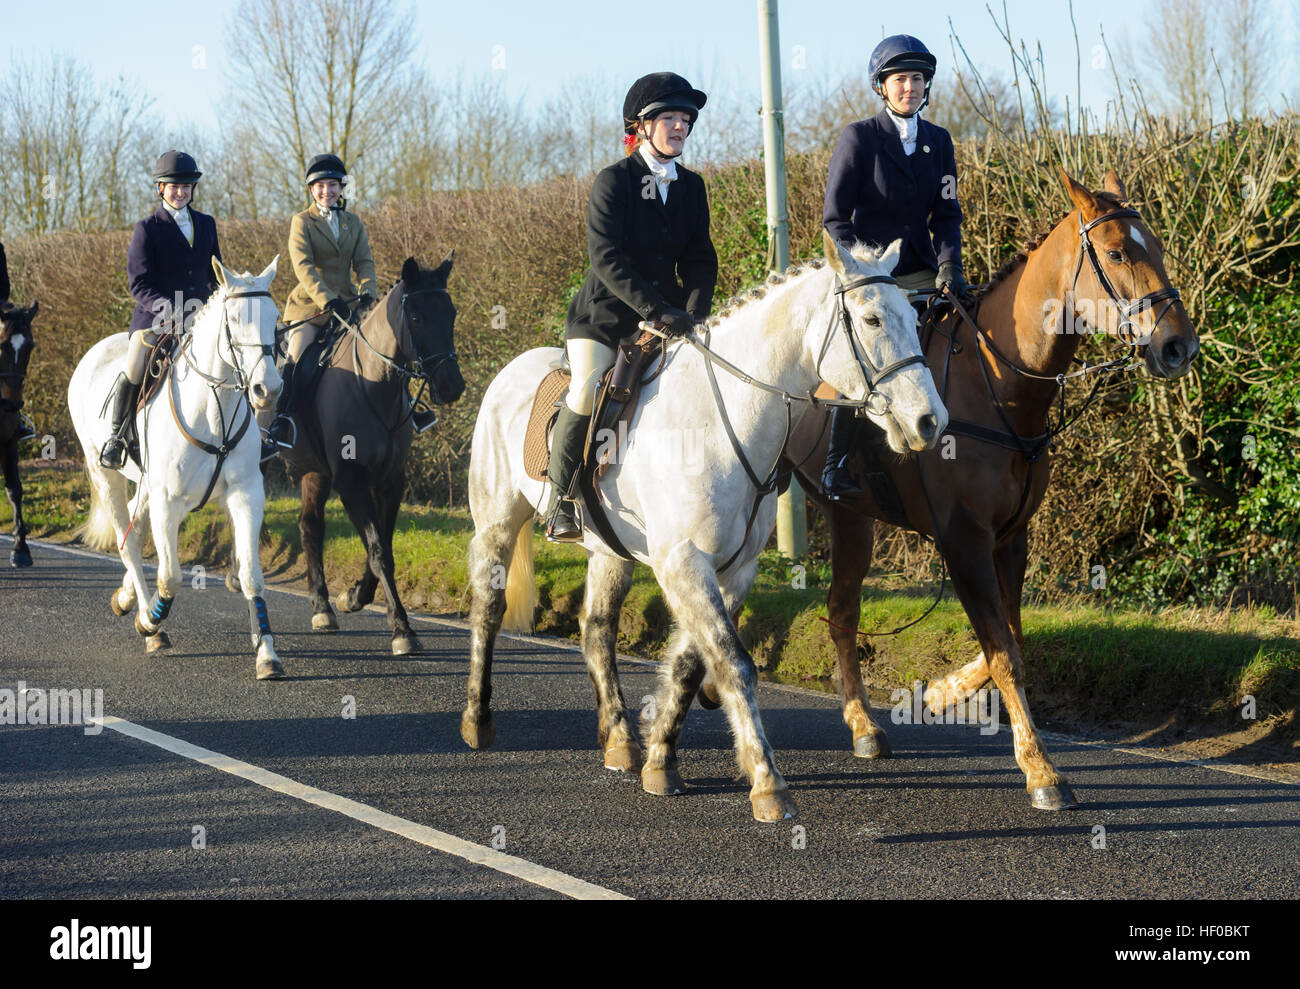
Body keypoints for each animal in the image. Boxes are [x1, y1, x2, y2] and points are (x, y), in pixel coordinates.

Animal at [68, 254, 287, 680]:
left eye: (275, 318)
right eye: (235, 319)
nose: (268, 390)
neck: (214, 410)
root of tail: (94, 352)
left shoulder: (246, 495)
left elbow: (252, 577)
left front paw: (267, 654)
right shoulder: (169, 501)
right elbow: (169, 576)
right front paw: (150, 621)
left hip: (148, 487)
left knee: (135, 528)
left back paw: (125, 597)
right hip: (106, 475)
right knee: (128, 542)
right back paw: (146, 620)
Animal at [271, 258, 465, 652]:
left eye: (451, 313)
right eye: (417, 317)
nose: (452, 386)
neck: (375, 383)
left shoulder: (391, 480)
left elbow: (383, 546)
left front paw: (356, 596)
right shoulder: (350, 481)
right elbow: (377, 550)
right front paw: (402, 629)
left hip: (314, 472)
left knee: (310, 527)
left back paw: (322, 608)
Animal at [462, 231, 951, 816]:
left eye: (913, 316)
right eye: (873, 319)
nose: (931, 422)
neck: (723, 421)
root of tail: (513, 369)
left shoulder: (732, 568)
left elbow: (693, 663)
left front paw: (660, 761)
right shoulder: (684, 561)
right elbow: (734, 662)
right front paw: (767, 781)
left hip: (609, 551)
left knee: (597, 630)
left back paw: (620, 741)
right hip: (498, 521)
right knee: (488, 608)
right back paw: (477, 721)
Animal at [780, 165, 1196, 805]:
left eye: (1157, 247)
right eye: (1117, 252)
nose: (1180, 346)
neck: (998, 385)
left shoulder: (1009, 539)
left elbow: (1010, 639)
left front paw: (941, 691)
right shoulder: (964, 541)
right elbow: (1004, 654)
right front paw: (1042, 770)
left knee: (837, 608)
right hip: (832, 512)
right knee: (834, 609)